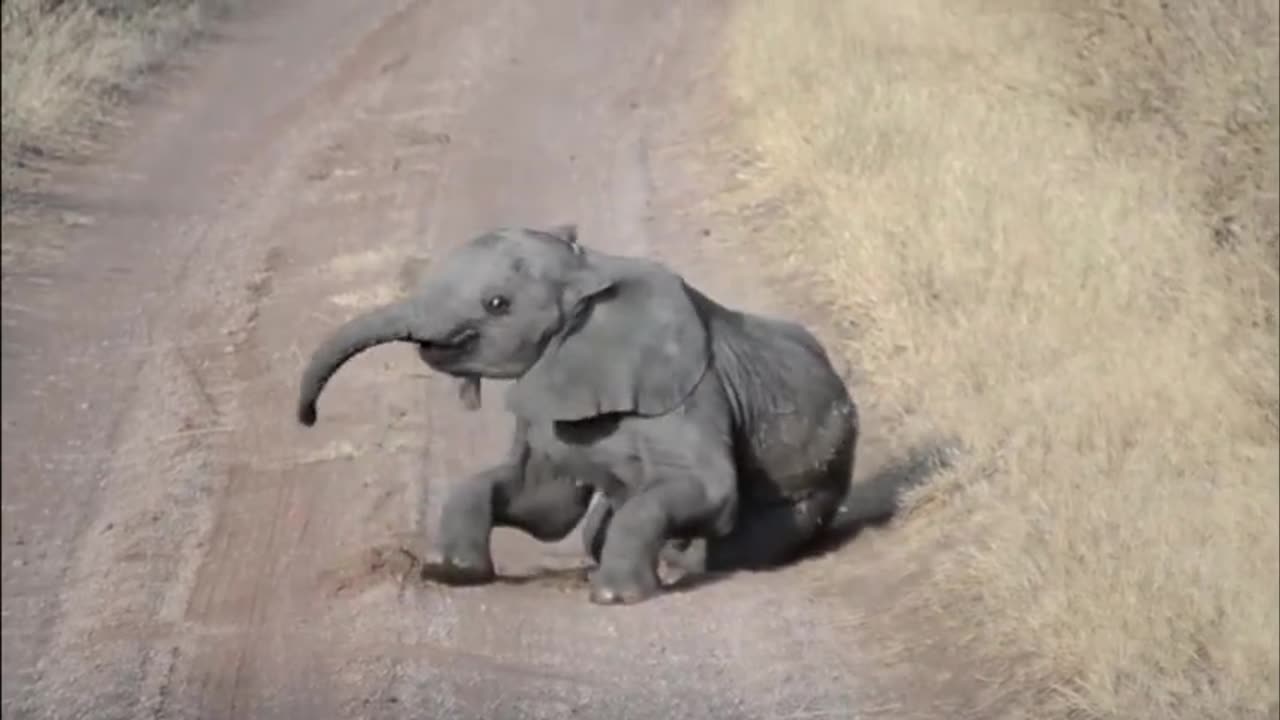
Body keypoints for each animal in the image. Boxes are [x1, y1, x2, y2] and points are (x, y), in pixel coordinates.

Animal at [296, 225, 860, 604]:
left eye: (496, 303)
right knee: (593, 529)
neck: (590, 273)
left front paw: (615, 597)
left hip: (812, 491)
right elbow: (544, 502)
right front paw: (453, 573)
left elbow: (710, 490)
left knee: (726, 546)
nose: (308, 419)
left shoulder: (686, 391)